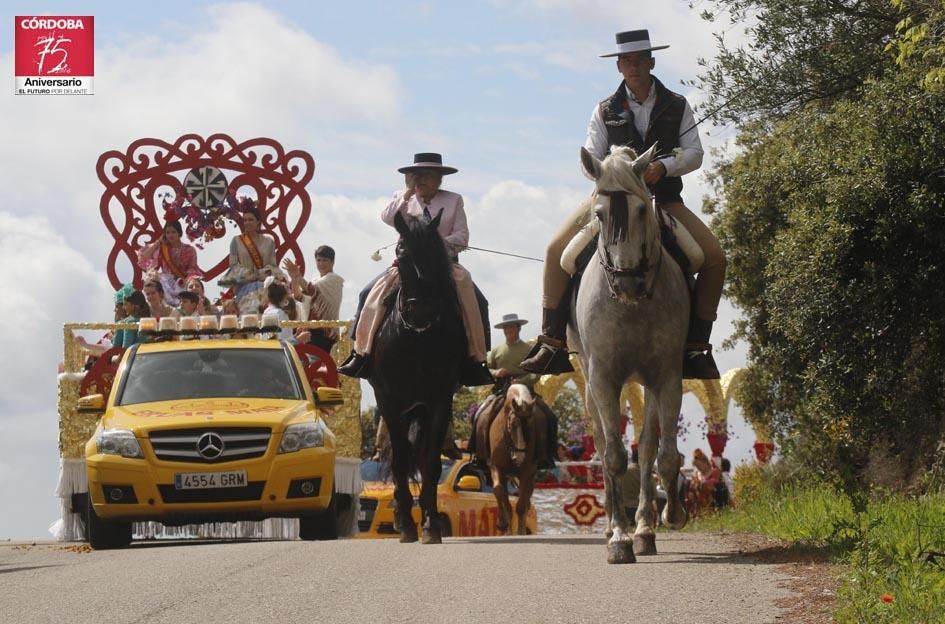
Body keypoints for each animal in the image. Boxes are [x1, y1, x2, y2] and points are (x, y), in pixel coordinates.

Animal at [366, 212, 466, 544]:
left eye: (435, 253)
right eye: (401, 252)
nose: (420, 312)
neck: (415, 338)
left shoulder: (439, 400)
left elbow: (430, 463)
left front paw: (431, 524)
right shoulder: (389, 400)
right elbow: (399, 461)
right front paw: (408, 525)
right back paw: (401, 516)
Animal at [486, 382, 540, 532]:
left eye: (530, 427)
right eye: (514, 424)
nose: (519, 457)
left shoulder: (526, 472)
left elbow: (521, 505)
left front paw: (520, 531)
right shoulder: (496, 466)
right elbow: (498, 490)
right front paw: (503, 523)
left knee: (526, 500)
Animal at [564, 146, 688, 564]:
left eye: (641, 211)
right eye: (600, 214)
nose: (627, 282)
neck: (632, 307)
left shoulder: (666, 377)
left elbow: (663, 456)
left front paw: (669, 516)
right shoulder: (603, 378)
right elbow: (615, 457)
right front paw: (618, 539)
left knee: (647, 448)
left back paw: (645, 530)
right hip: (589, 383)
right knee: (604, 445)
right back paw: (612, 528)